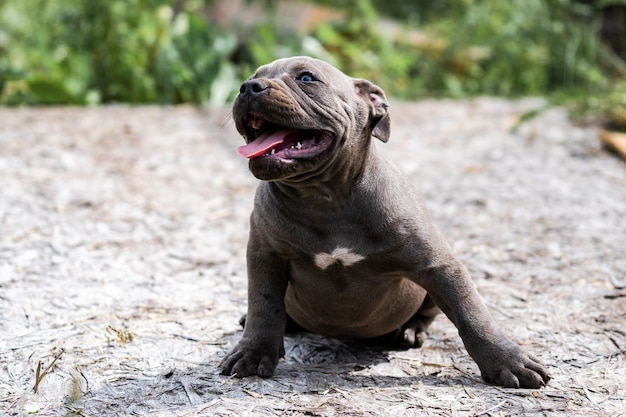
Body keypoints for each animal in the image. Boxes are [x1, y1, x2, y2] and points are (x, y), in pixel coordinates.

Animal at [218, 55, 544, 386]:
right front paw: (254, 352)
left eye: (307, 78)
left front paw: (507, 361)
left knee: (428, 313)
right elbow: (264, 305)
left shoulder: (438, 264)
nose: (248, 87)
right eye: (253, 75)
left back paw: (410, 330)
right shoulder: (265, 255)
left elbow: (471, 314)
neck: (324, 198)